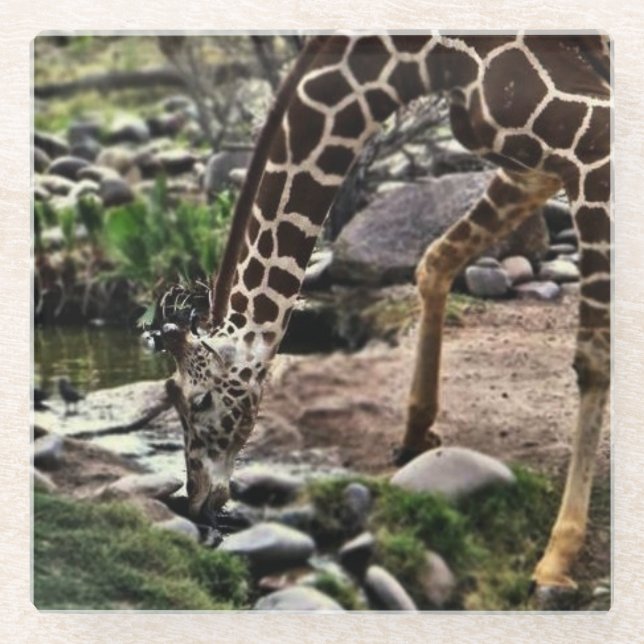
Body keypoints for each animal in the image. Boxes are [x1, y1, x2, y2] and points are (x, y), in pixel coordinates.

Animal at [154, 34, 611, 593]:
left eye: (198, 401)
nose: (196, 501)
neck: (423, 57)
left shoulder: (594, 147)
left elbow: (593, 359)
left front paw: (557, 558)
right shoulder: (535, 167)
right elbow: (434, 261)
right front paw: (415, 436)